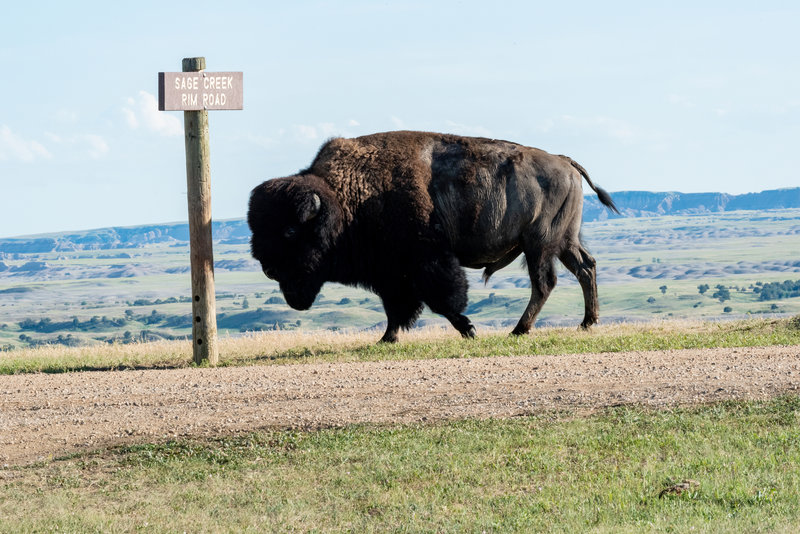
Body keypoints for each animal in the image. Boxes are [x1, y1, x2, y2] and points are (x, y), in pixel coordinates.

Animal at [248, 132, 620, 346]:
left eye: (290, 231)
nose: (267, 267)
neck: (344, 197)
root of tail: (565, 162)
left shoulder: (426, 262)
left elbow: (442, 299)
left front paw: (468, 330)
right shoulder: (392, 276)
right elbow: (397, 308)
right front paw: (387, 339)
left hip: (539, 245)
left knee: (544, 283)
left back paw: (520, 329)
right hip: (564, 241)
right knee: (585, 268)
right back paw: (587, 323)